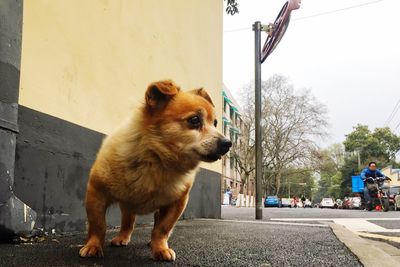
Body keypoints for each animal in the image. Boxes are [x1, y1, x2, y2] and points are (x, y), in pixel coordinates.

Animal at [78, 80, 231, 262]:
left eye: (215, 123)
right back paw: (122, 237)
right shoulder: (96, 192)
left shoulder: (177, 203)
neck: (156, 160)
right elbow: (98, 225)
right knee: (128, 222)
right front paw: (93, 245)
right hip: (127, 204)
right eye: (194, 120)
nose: (228, 143)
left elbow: (162, 229)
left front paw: (160, 248)